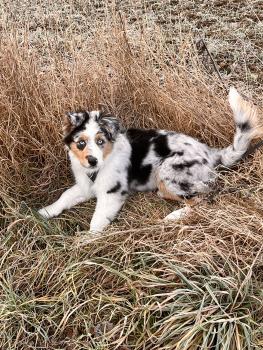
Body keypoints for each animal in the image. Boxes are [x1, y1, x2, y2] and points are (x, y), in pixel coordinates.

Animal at [38, 87, 262, 232]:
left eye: (101, 141)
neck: (99, 167)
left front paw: (85, 243)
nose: (92, 161)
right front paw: (45, 212)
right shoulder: (87, 186)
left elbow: (96, 221)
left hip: (168, 171)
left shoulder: (111, 194)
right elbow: (65, 196)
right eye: (81, 143)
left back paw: (173, 217)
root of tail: (209, 153)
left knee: (202, 201)